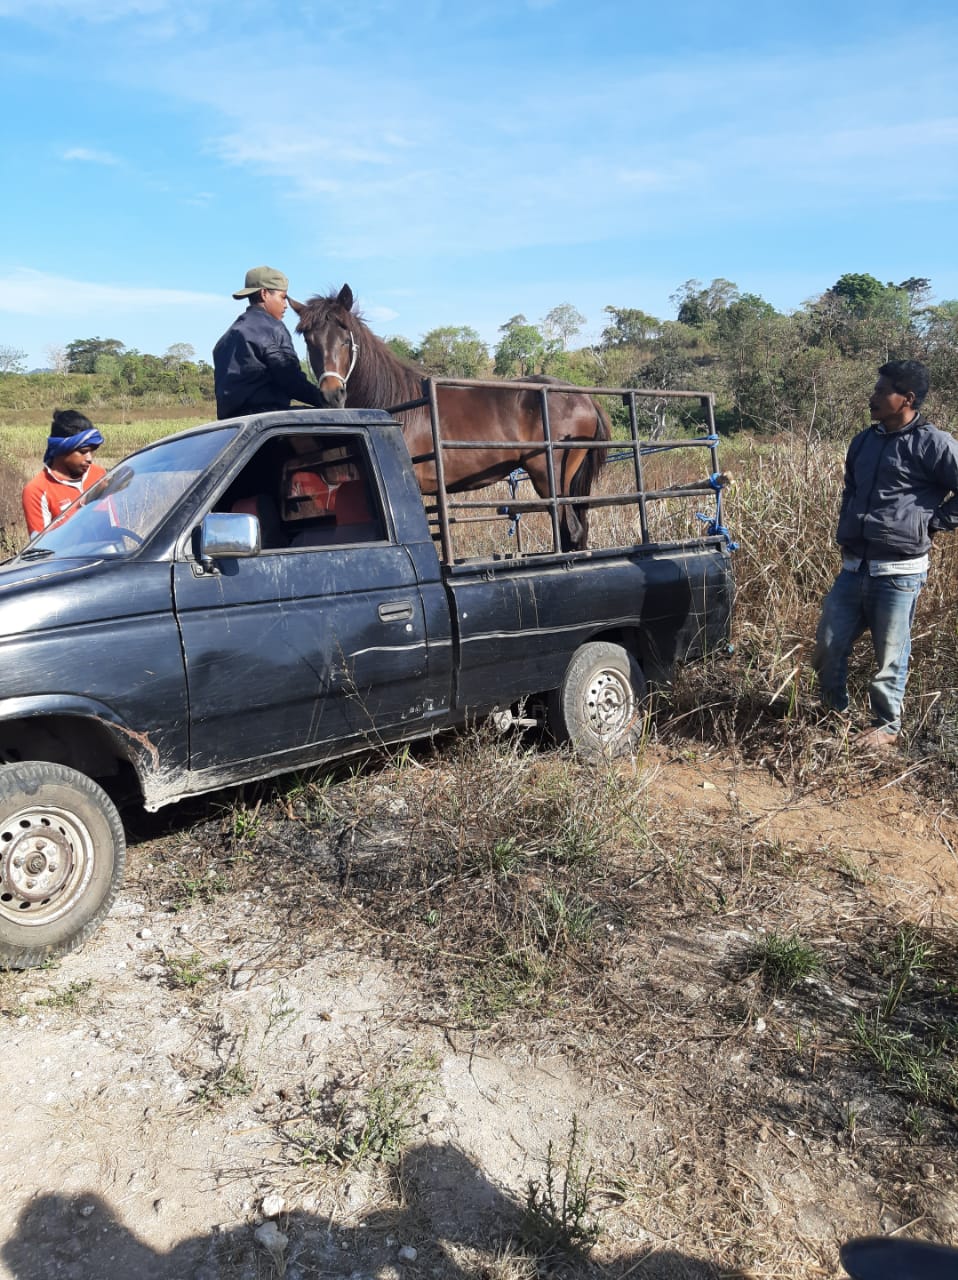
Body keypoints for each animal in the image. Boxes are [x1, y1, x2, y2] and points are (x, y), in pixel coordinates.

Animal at [288, 285, 609, 550]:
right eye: (310, 342)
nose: (332, 394)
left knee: (571, 531)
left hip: (549, 478)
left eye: (345, 338)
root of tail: (584, 398)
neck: (397, 406)